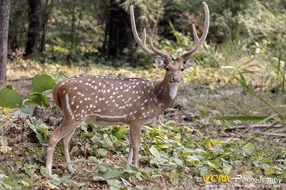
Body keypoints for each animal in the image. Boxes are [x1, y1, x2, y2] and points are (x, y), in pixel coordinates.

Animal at [45, 2, 209, 174]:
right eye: (167, 68)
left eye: (182, 68)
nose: (175, 78)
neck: (157, 101)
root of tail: (58, 86)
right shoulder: (137, 118)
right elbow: (137, 145)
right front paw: (137, 170)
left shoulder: (130, 120)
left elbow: (130, 145)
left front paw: (127, 168)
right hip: (75, 113)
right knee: (54, 136)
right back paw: (49, 172)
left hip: (75, 115)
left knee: (65, 140)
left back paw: (71, 169)